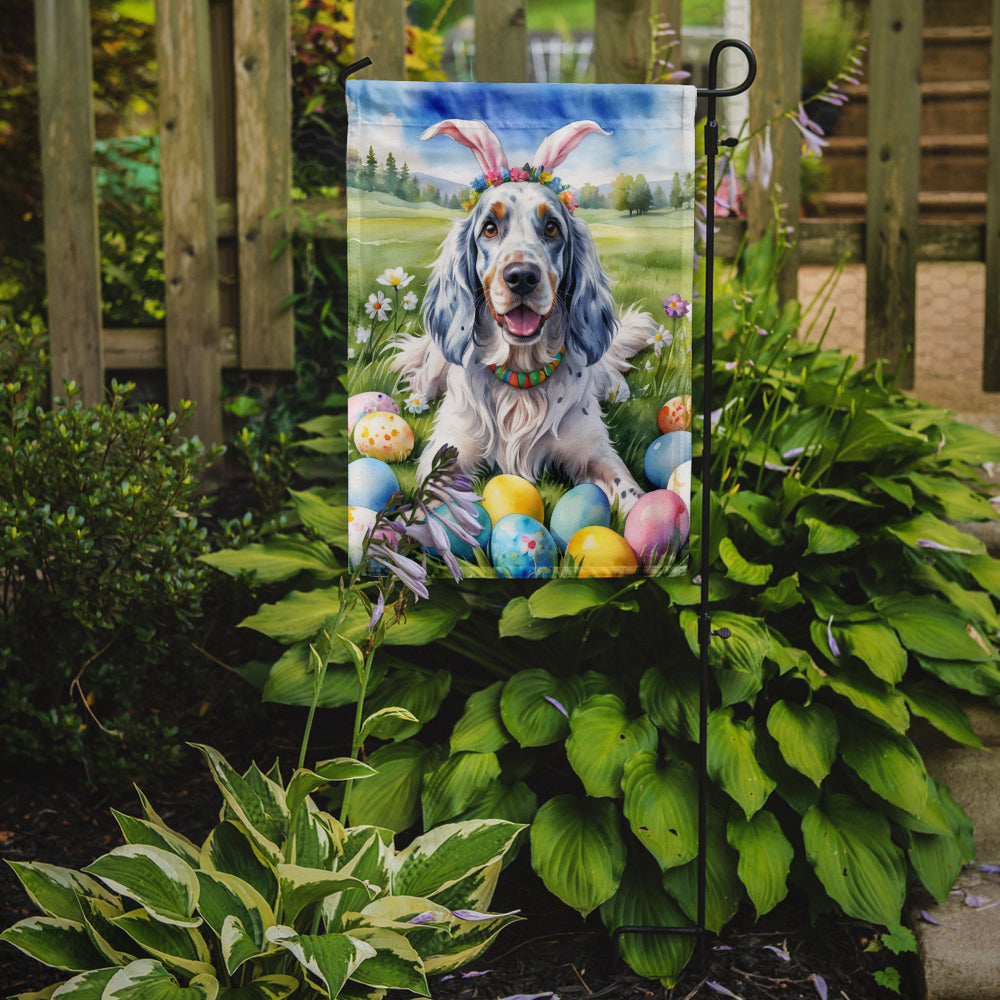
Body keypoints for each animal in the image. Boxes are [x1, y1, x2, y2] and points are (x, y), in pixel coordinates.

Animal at [392, 115, 664, 516]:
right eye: (489, 228)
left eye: (551, 227)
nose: (521, 276)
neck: (521, 376)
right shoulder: (450, 451)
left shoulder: (593, 452)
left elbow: (628, 488)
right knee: (421, 385)